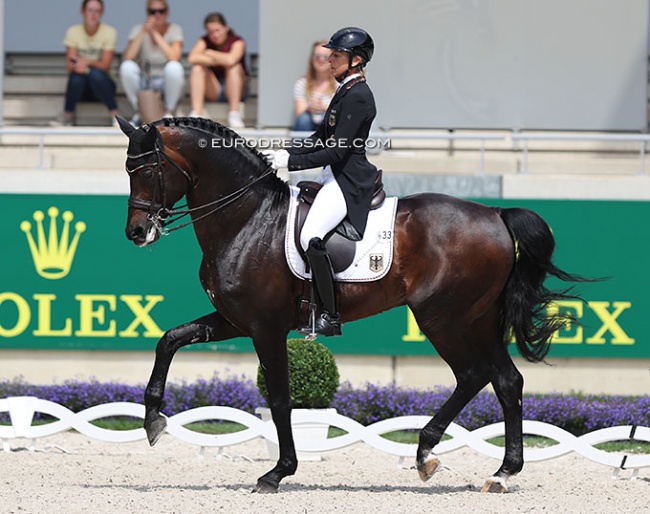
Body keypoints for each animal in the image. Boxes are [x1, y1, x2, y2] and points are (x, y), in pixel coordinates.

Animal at [115, 116, 584, 492]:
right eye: (127, 168)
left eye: (150, 168)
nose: (136, 232)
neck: (247, 219)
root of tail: (495, 214)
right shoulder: (236, 320)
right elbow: (169, 339)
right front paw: (153, 419)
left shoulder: (266, 328)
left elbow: (281, 399)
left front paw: (278, 473)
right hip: (478, 319)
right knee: (506, 380)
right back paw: (502, 472)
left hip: (442, 318)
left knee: (473, 375)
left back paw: (425, 453)